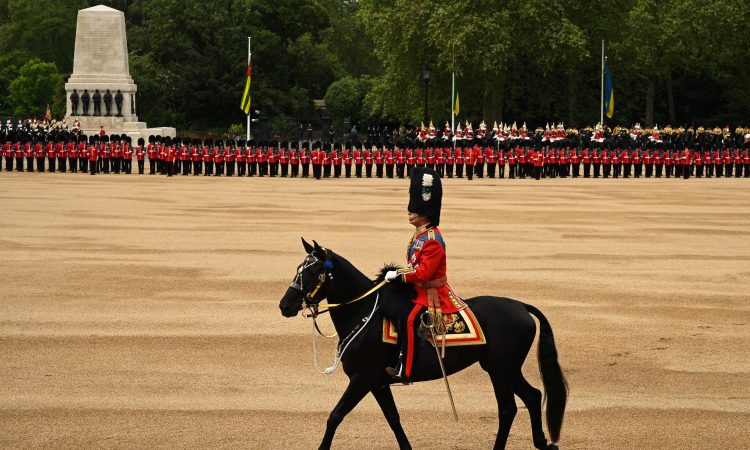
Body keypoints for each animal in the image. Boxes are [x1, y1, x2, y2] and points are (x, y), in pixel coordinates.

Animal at [280, 241, 568, 450]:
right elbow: (393, 419)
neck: (362, 312)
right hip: (504, 369)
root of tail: (521, 305)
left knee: (508, 409)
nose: (285, 305)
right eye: (298, 269)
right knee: (533, 396)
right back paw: (543, 443)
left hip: (500, 371)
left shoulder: (362, 379)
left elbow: (335, 416)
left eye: (313, 272)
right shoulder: (377, 382)